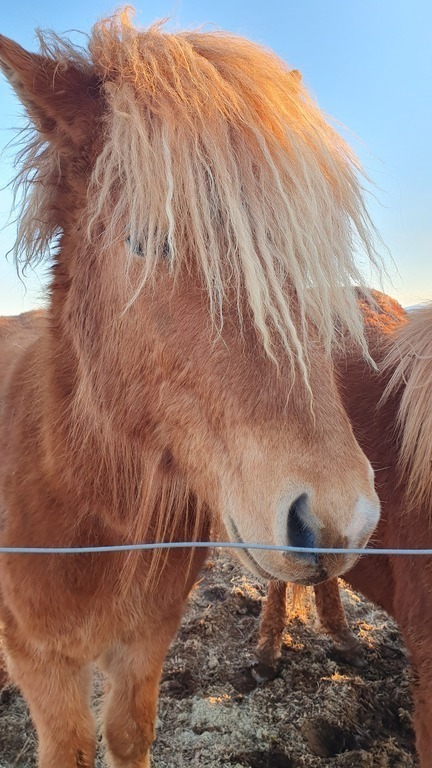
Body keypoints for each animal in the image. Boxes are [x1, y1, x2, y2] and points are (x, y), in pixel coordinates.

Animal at [0, 11, 382, 767]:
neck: (84, 515)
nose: (338, 520)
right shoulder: (43, 666)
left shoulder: (145, 647)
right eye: (146, 241)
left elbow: (128, 736)